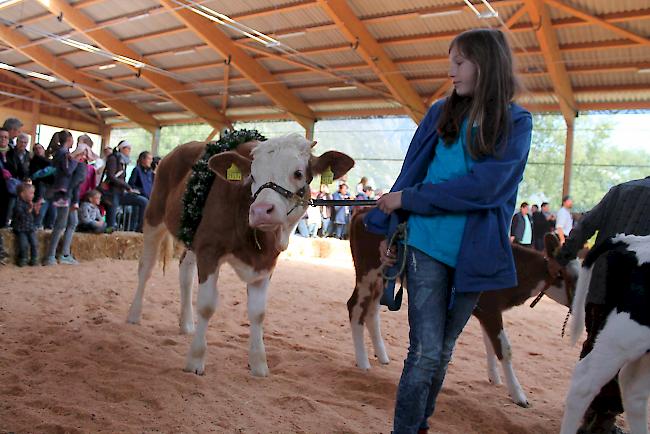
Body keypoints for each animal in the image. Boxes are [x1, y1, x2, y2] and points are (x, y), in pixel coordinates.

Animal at [127, 135, 354, 376]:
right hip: (154, 216)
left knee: (185, 273)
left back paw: (186, 323)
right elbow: (206, 306)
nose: (261, 210)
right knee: (146, 268)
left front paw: (259, 364)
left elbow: (258, 312)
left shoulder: (266, 263)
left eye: (298, 173)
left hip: (190, 234)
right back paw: (134, 315)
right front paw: (195, 360)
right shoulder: (209, 250)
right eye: (252, 176)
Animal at [350, 210, 572, 406]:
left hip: (381, 279)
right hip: (368, 273)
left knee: (372, 313)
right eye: (563, 275)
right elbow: (503, 349)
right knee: (355, 308)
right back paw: (363, 363)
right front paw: (519, 395)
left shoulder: (486, 312)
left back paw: (382, 356)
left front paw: (495, 378)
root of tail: (363, 212)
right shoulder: (490, 310)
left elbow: (489, 343)